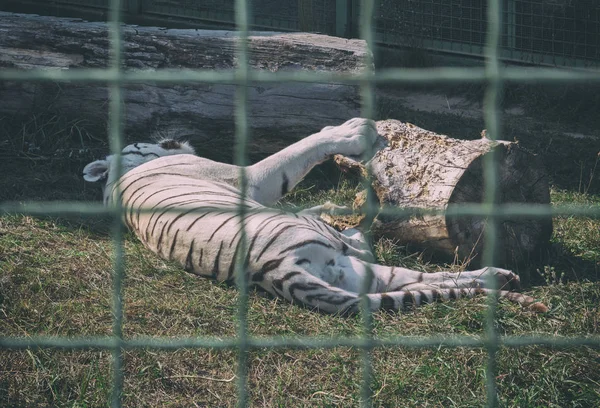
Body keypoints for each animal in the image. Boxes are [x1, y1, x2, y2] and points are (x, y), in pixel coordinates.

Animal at [84, 118, 548, 316]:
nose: (169, 136)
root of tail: (275, 272)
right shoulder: (251, 179)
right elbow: (298, 151)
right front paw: (352, 132)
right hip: (342, 254)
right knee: (374, 248)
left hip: (362, 275)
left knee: (419, 279)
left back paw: (497, 276)